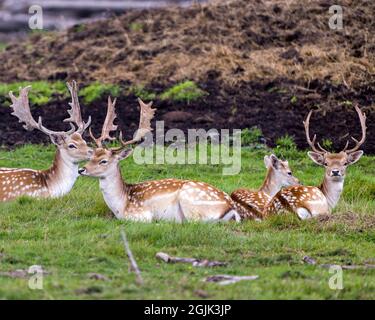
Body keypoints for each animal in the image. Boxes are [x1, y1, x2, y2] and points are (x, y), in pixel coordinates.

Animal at [78, 97, 247, 222]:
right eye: (91, 156)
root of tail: (231, 208)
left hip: (190, 202)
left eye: (103, 161)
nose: (81, 169)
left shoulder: (141, 214)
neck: (121, 204)